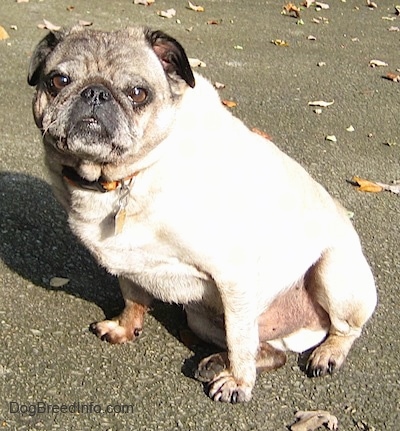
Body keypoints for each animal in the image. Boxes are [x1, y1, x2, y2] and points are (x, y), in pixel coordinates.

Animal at [28, 27, 378, 404]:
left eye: (138, 93)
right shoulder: (129, 262)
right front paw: (124, 326)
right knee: (269, 352)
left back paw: (325, 353)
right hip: (204, 319)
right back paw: (217, 361)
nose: (95, 92)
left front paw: (239, 382)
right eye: (58, 81)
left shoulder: (233, 273)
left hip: (332, 273)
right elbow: (133, 296)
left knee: (339, 330)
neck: (124, 177)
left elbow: (240, 339)